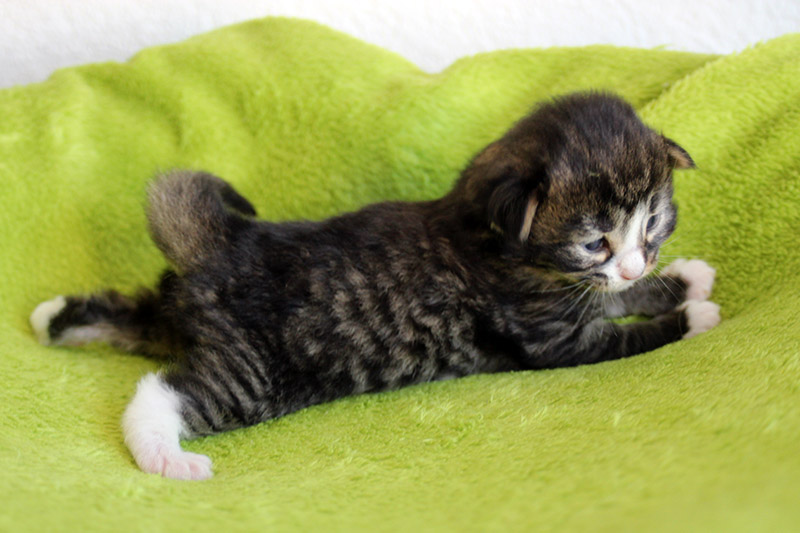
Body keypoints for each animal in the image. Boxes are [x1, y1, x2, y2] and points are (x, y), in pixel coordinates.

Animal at [30, 92, 720, 481]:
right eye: (595, 241)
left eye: (653, 222)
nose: (634, 262)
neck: (495, 240)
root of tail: (223, 242)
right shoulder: (554, 341)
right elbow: (627, 333)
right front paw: (694, 316)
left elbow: (618, 297)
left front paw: (681, 278)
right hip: (254, 374)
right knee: (159, 391)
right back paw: (165, 457)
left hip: (180, 316)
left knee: (136, 319)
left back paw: (54, 316)